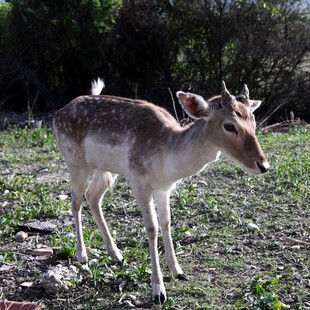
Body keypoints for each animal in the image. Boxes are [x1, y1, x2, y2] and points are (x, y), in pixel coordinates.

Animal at [52, 80, 268, 306]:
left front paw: (178, 271)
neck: (167, 159)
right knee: (75, 202)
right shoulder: (138, 182)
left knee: (92, 197)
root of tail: (58, 113)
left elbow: (166, 223)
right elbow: (152, 228)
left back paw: (116, 254)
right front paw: (158, 291)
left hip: (106, 170)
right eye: (229, 126)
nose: (263, 165)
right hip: (75, 163)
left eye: (253, 121)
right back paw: (82, 255)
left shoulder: (164, 188)